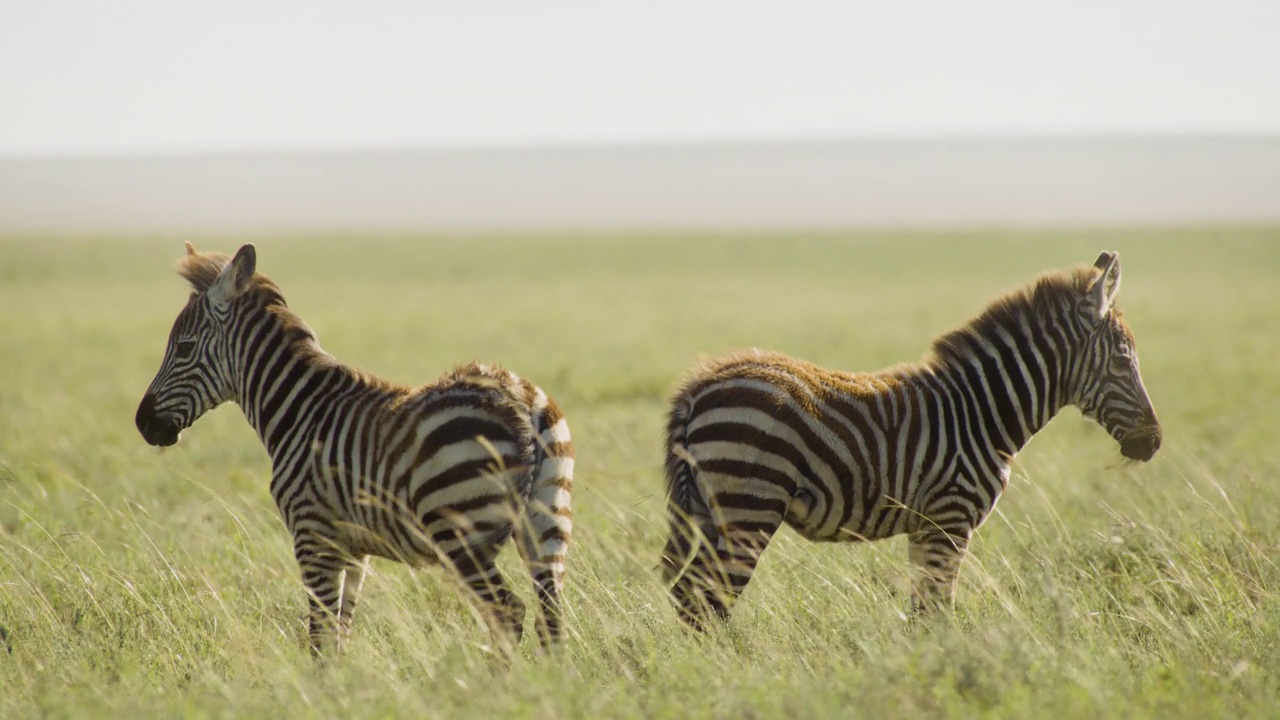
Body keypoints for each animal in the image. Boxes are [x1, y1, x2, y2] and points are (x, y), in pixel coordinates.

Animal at [136, 240, 576, 650]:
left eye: (184, 347)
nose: (143, 423)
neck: (300, 409)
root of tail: (518, 401)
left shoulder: (312, 534)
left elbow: (319, 633)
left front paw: (318, 684)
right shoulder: (352, 551)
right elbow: (340, 631)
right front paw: (343, 683)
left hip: (460, 532)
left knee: (507, 612)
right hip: (547, 523)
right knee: (550, 615)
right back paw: (547, 682)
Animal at [660, 249, 1162, 625]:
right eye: (1123, 360)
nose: (1154, 442)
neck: (980, 413)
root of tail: (701, 384)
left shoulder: (927, 528)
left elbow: (922, 612)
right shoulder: (950, 520)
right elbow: (937, 610)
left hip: (710, 509)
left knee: (690, 594)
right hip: (749, 503)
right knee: (710, 600)